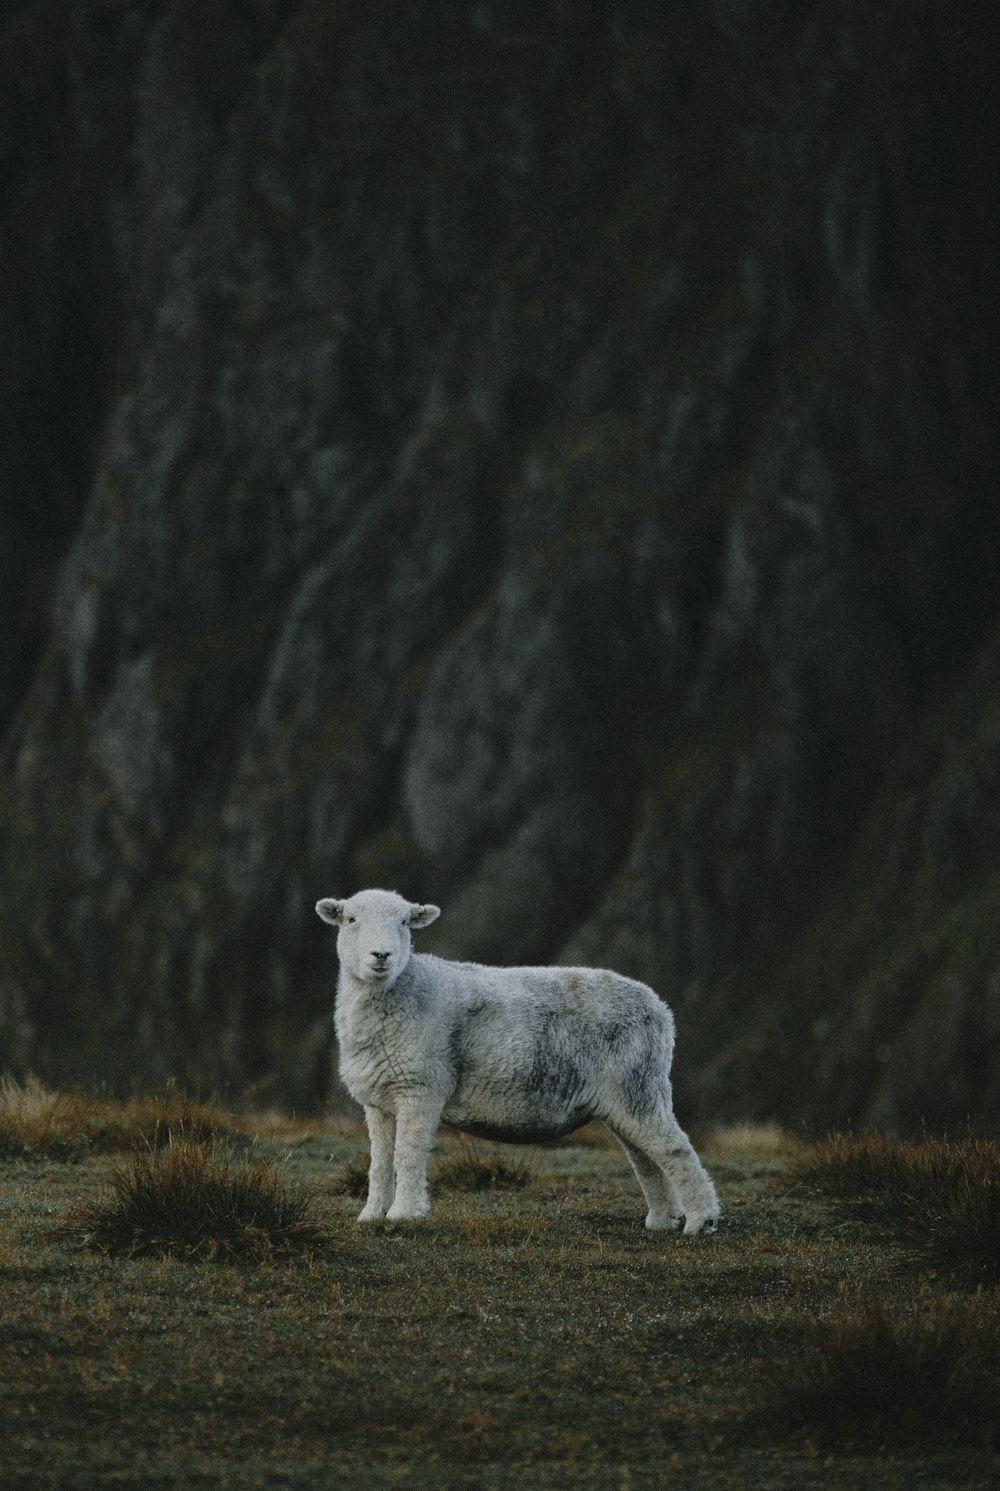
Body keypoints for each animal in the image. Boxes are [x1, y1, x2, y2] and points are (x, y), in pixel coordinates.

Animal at [317, 888, 715, 1228]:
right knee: (646, 1157)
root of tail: (660, 1008)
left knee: (675, 1149)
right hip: (627, 1096)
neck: (405, 989)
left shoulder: (421, 1087)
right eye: (350, 919)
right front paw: (371, 1215)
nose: (381, 955)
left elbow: (408, 1154)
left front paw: (404, 1215)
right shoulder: (380, 1099)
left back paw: (701, 1220)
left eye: (403, 922)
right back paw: (662, 1220)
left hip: (638, 1082)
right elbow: (381, 1161)